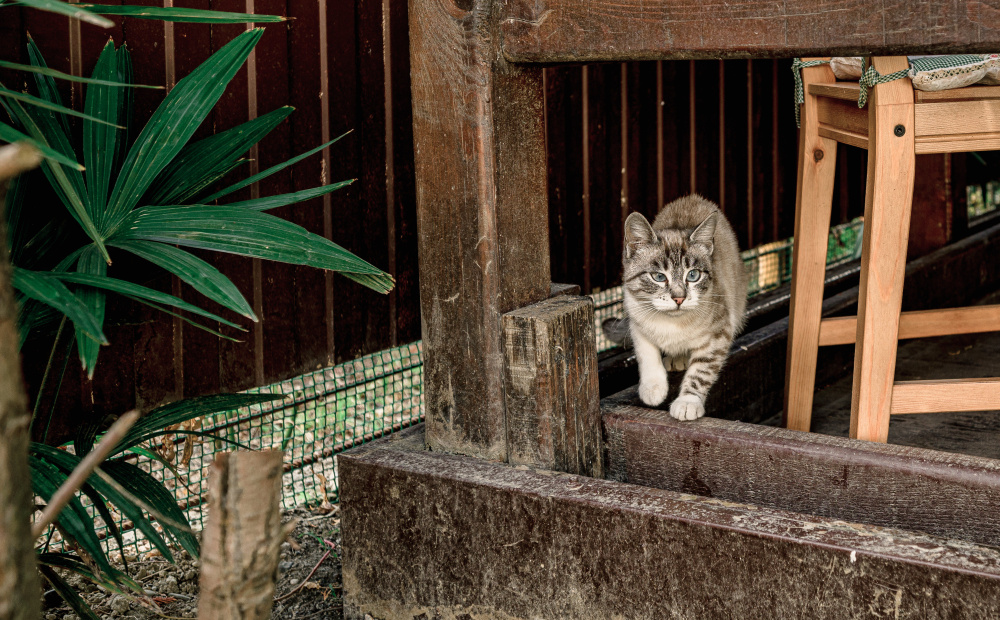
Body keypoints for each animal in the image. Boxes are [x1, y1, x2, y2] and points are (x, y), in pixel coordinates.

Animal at [620, 196, 748, 418]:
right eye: (659, 277)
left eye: (693, 275)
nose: (679, 298)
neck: (671, 324)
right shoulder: (636, 319)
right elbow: (646, 352)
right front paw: (652, 388)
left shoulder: (720, 330)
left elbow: (702, 370)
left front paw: (688, 401)